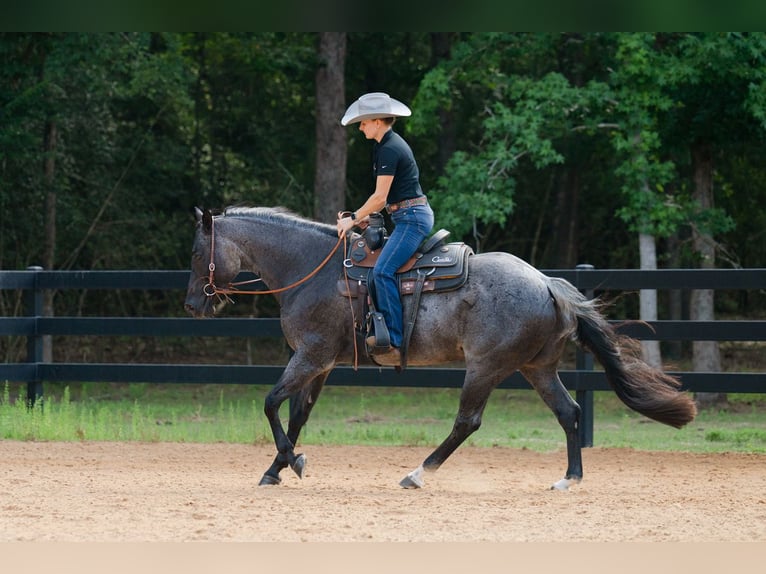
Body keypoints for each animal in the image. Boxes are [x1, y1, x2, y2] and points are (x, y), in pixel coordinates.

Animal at [184, 206, 697, 490]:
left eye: (195, 253)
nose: (191, 304)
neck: (312, 269)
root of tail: (548, 283)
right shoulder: (321, 364)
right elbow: (296, 416)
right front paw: (278, 469)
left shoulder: (310, 356)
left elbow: (271, 403)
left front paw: (293, 462)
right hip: (538, 367)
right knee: (569, 413)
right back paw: (568, 479)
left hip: (486, 367)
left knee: (467, 421)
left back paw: (418, 473)